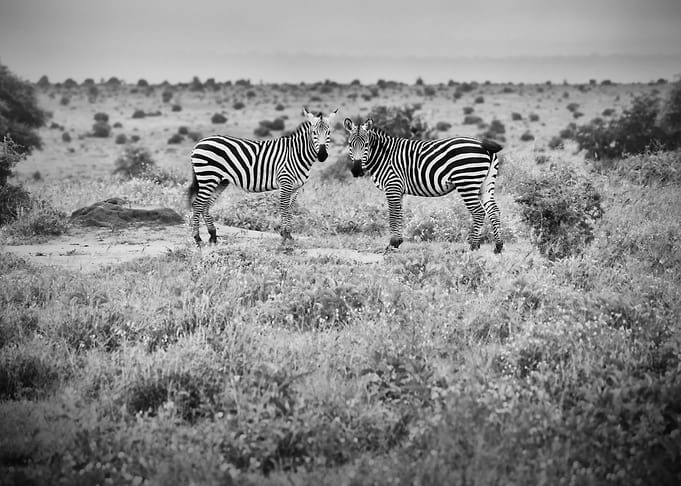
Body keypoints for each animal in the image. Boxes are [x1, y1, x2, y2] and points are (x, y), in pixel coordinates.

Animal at [188, 107, 338, 246]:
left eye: (329, 133)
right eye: (314, 133)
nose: (322, 155)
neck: (296, 154)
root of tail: (199, 143)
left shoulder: (296, 188)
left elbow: (290, 210)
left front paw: (289, 235)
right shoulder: (285, 182)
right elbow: (284, 208)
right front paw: (285, 236)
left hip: (220, 181)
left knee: (206, 205)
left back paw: (212, 236)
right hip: (208, 176)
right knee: (197, 204)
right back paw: (197, 238)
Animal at [343, 117, 504, 253]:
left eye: (366, 145)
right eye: (350, 144)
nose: (356, 171)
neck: (384, 156)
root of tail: (484, 145)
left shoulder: (392, 185)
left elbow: (393, 215)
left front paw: (392, 244)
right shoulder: (398, 190)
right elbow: (399, 213)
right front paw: (398, 242)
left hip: (467, 182)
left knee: (478, 212)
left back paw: (473, 246)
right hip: (486, 185)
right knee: (494, 211)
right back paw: (498, 246)